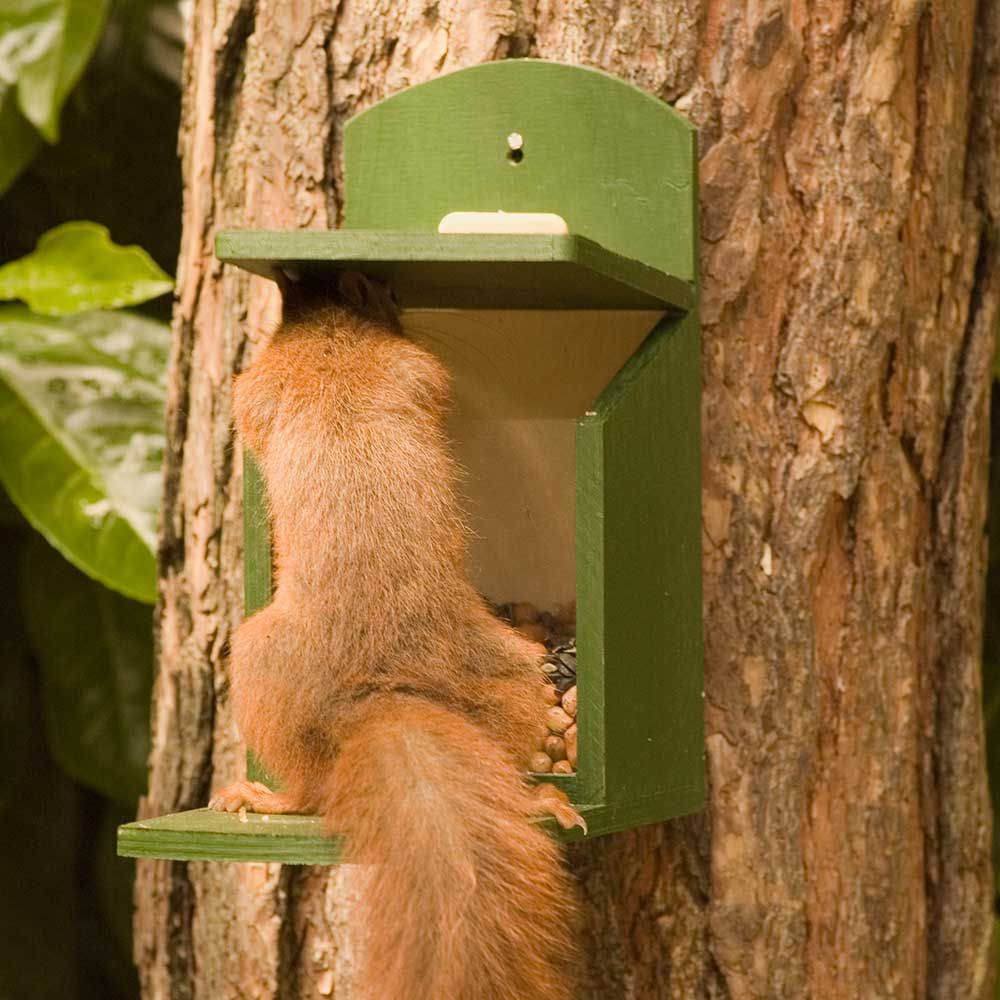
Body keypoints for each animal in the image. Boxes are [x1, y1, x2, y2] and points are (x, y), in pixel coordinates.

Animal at [212, 274, 584, 1000]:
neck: (333, 332)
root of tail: (387, 693)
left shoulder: (269, 384)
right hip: (508, 669)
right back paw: (540, 798)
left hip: (256, 658)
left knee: (309, 792)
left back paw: (264, 797)